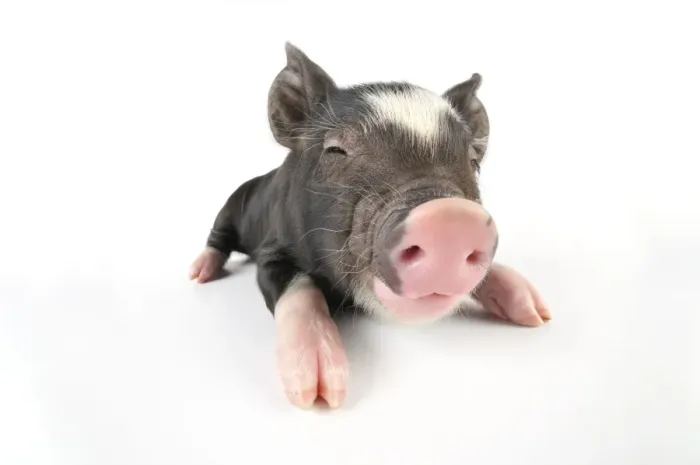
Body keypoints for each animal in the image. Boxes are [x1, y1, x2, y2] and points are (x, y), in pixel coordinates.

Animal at [189, 43, 551, 409]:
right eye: (335, 149)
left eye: (473, 161)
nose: (452, 216)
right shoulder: (272, 249)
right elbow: (298, 287)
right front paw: (317, 394)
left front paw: (537, 313)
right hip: (232, 205)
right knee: (218, 236)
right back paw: (199, 274)